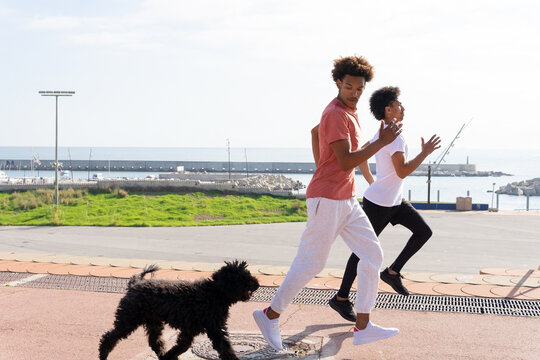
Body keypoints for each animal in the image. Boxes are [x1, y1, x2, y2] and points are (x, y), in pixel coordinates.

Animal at [98, 260, 260, 358]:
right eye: (244, 278)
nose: (257, 284)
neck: (215, 293)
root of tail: (135, 283)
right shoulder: (214, 329)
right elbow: (226, 348)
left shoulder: (190, 330)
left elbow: (182, 346)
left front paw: (169, 357)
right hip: (129, 318)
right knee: (109, 337)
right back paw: (103, 355)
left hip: (153, 322)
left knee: (155, 342)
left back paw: (163, 355)